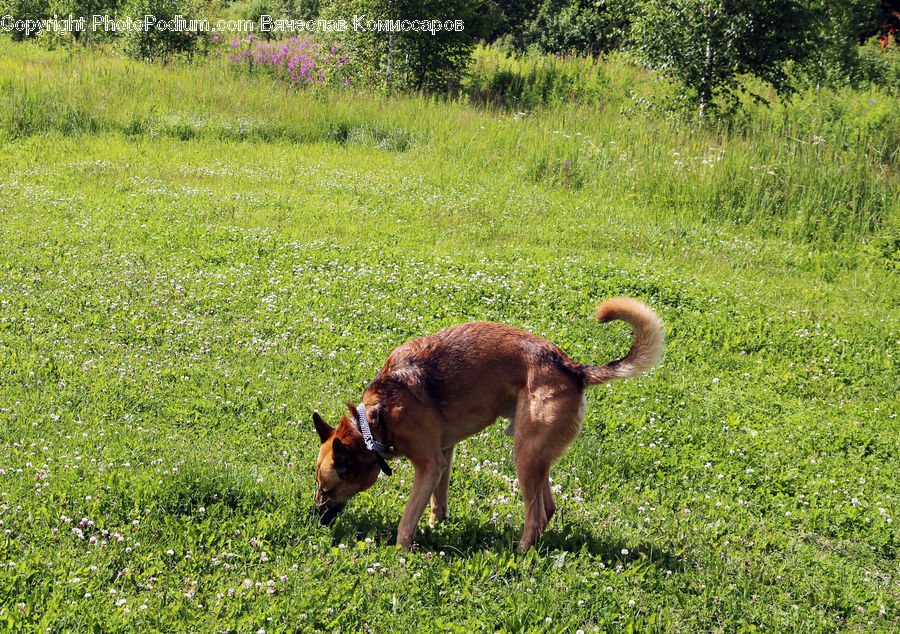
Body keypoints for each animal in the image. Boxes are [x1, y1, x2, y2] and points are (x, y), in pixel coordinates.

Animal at [312, 296, 660, 548]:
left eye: (327, 490)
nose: (313, 517)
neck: (372, 422)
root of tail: (573, 368)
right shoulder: (444, 454)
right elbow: (438, 502)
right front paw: (437, 527)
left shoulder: (429, 464)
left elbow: (407, 520)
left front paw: (401, 554)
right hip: (537, 454)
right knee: (548, 508)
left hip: (524, 455)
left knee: (535, 515)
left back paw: (521, 554)